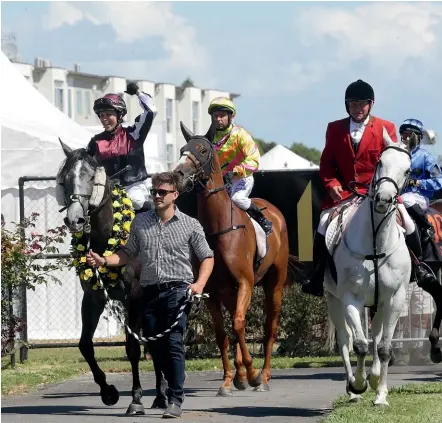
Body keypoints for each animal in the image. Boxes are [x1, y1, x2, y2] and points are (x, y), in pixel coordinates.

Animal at [174, 121, 300, 396]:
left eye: (201, 150)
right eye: (182, 149)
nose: (177, 175)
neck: (219, 228)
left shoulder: (245, 282)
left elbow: (240, 324)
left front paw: (251, 374)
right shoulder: (211, 289)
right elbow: (222, 333)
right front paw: (230, 379)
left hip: (274, 283)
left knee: (270, 327)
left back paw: (264, 376)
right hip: (230, 290)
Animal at [326, 129, 412, 408]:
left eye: (408, 170)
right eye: (379, 162)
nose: (383, 200)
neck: (375, 241)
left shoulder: (394, 299)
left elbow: (383, 347)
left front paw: (380, 391)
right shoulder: (351, 298)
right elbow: (360, 345)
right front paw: (359, 384)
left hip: (379, 304)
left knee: (375, 336)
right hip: (333, 299)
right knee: (345, 341)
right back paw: (353, 390)